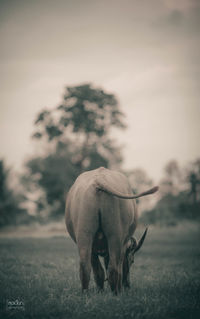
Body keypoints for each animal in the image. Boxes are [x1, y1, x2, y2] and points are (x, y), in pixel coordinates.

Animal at [65, 168, 159, 296]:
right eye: (132, 260)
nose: (127, 285)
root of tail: (98, 181)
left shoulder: (94, 249)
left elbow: (98, 271)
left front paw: (100, 290)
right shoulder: (123, 246)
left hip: (85, 236)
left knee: (86, 267)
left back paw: (87, 294)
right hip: (115, 237)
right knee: (114, 268)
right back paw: (116, 293)